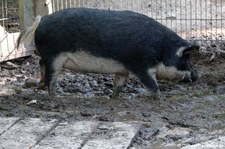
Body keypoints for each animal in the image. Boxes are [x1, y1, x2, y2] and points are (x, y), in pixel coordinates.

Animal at [17, 8, 199, 99]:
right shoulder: (140, 66)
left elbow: (118, 84)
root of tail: (42, 20)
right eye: (185, 59)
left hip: (48, 55)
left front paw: (114, 98)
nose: (197, 75)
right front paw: (161, 99)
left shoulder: (123, 69)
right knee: (51, 77)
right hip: (54, 55)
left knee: (41, 64)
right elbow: (153, 86)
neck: (161, 50)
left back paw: (39, 85)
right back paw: (56, 97)